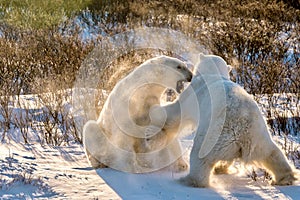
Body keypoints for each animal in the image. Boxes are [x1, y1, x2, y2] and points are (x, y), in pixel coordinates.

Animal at [151, 53, 296, 188]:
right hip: (259, 137)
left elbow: (176, 113)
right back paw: (284, 178)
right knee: (273, 153)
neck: (213, 74)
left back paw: (189, 180)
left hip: (215, 136)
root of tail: (242, 133)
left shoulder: (193, 94)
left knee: (200, 156)